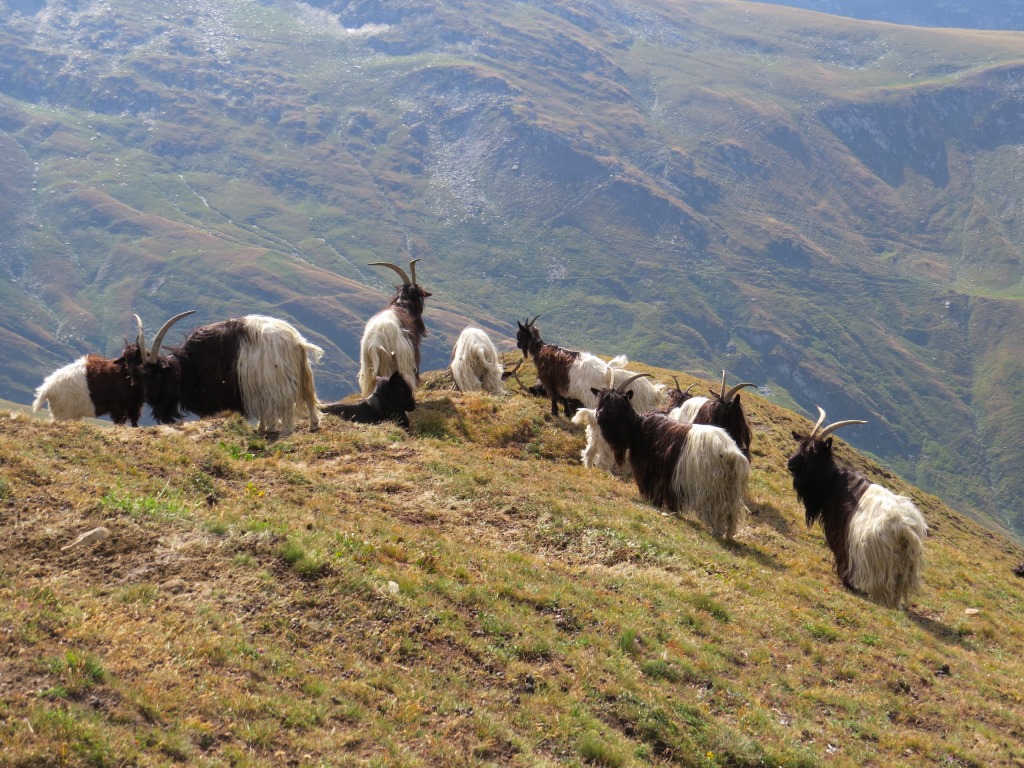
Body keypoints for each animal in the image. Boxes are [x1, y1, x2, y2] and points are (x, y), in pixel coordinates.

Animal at [134, 311, 323, 436]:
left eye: (160, 375)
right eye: (144, 376)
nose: (150, 399)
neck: (188, 366)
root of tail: (297, 342)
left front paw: (266, 428)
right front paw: (263, 428)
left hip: (279, 380)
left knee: (287, 404)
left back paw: (286, 430)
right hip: (299, 374)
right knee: (308, 396)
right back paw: (313, 425)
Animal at [591, 373, 750, 540]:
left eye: (616, 404)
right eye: (601, 400)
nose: (599, 414)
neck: (638, 426)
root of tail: (731, 453)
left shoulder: (652, 471)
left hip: (713, 487)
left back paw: (716, 531)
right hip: (730, 488)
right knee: (731, 513)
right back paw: (728, 534)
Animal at [787, 406, 928, 609]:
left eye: (813, 451)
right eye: (800, 445)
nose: (790, 463)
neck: (833, 483)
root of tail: (906, 529)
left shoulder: (842, 536)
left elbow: (843, 559)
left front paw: (845, 581)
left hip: (881, 560)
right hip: (905, 565)